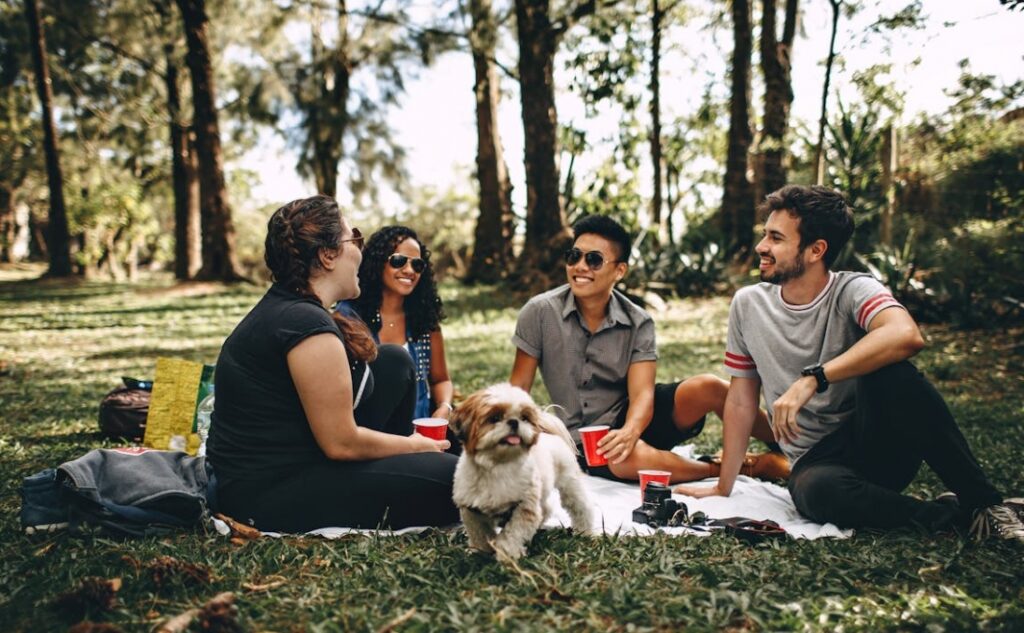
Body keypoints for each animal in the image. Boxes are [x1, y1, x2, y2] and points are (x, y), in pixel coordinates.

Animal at [450, 381, 593, 561]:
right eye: (494, 418)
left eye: (524, 418)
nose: (514, 422)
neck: (497, 466)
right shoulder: (471, 510)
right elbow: (479, 533)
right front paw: (479, 551)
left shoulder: (524, 507)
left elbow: (512, 533)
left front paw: (507, 554)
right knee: (545, 509)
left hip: (569, 484)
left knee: (581, 508)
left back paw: (585, 531)